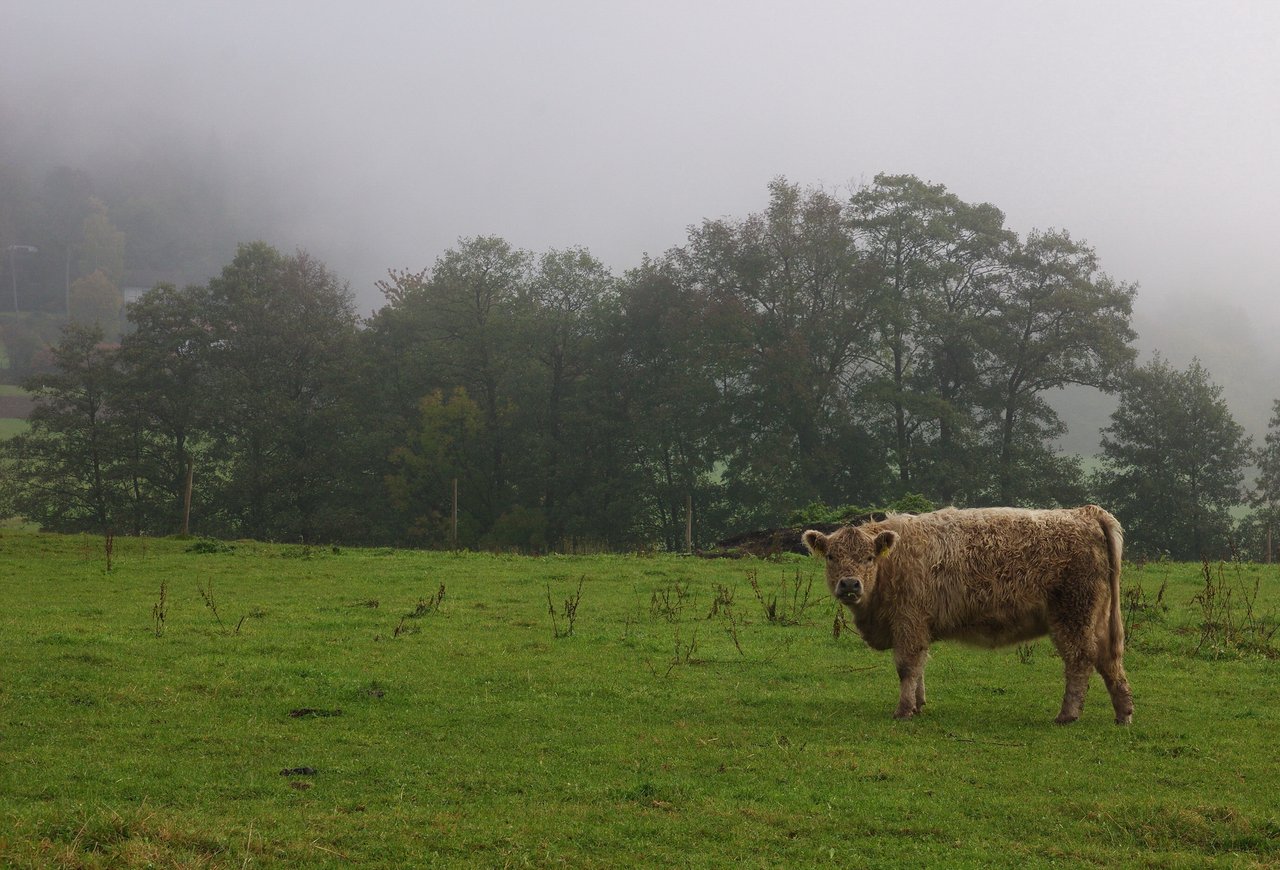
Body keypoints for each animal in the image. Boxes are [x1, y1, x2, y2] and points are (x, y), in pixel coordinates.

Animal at [803, 506, 1136, 721]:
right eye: (831, 556)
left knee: (1080, 659)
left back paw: (1068, 714)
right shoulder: (918, 626)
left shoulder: (909, 622)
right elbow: (920, 666)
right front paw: (919, 705)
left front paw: (903, 710)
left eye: (869, 557)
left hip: (1073, 614)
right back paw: (1123, 713)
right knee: (1109, 660)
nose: (850, 584)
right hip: (1096, 617)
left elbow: (907, 667)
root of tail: (1085, 512)